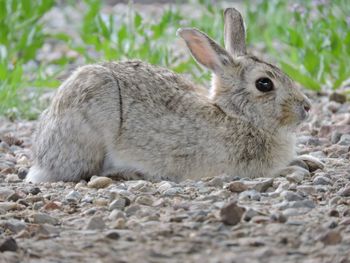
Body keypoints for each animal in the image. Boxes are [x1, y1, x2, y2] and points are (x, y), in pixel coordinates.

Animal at [26, 6, 312, 184]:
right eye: (264, 84)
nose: (307, 107)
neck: (236, 115)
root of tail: (41, 155)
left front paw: (307, 160)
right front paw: (294, 168)